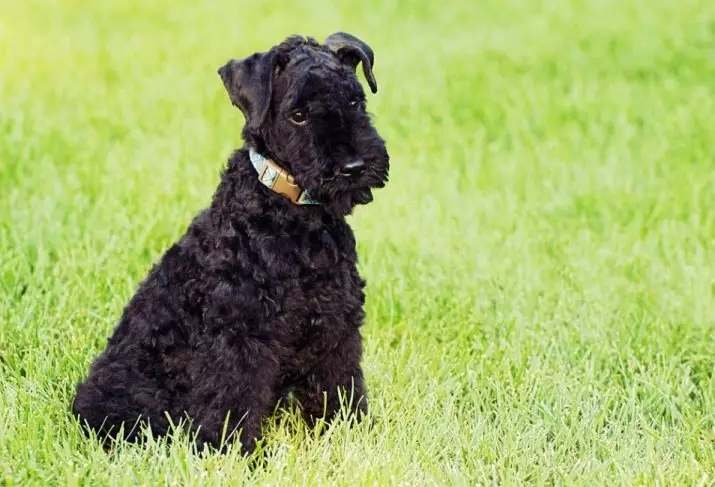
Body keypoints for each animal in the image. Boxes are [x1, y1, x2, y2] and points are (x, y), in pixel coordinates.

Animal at [70, 32, 388, 456]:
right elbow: (232, 399)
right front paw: (232, 454)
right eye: (298, 114)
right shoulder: (240, 336)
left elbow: (339, 384)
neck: (293, 215)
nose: (354, 167)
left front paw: (350, 434)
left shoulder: (336, 320)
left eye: (355, 101)